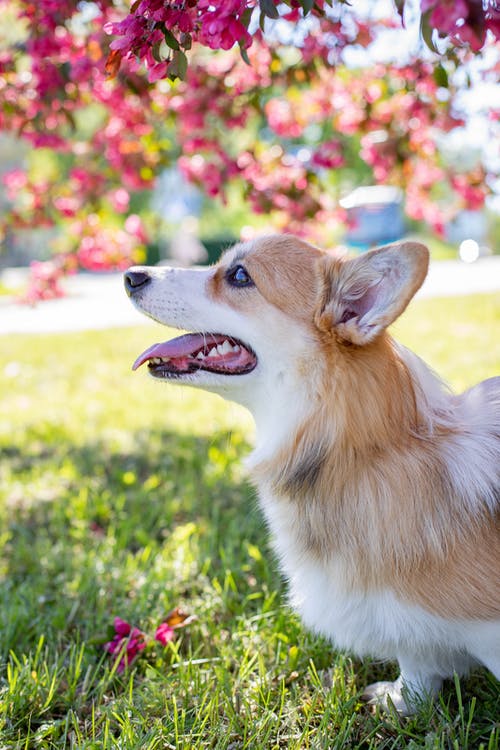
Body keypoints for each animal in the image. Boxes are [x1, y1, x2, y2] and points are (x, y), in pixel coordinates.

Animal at [125, 235, 500, 716]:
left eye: (240, 275)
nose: (131, 275)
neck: (364, 454)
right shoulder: (406, 624)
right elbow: (417, 662)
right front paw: (402, 700)